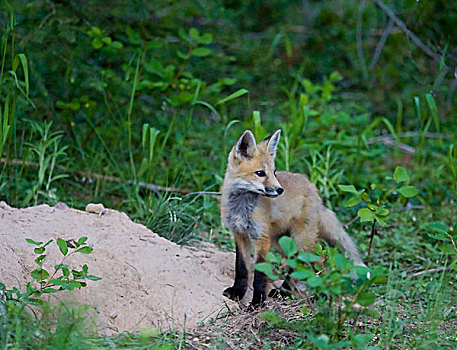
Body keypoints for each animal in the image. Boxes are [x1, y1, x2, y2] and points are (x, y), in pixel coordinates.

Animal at [219, 129, 366, 306]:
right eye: (260, 173)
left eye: (274, 172)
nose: (279, 190)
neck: (241, 207)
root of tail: (314, 190)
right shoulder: (239, 234)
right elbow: (241, 269)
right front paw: (237, 292)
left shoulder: (261, 237)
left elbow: (260, 276)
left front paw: (257, 303)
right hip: (281, 243)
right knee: (307, 267)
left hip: (301, 240)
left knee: (309, 265)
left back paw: (302, 293)